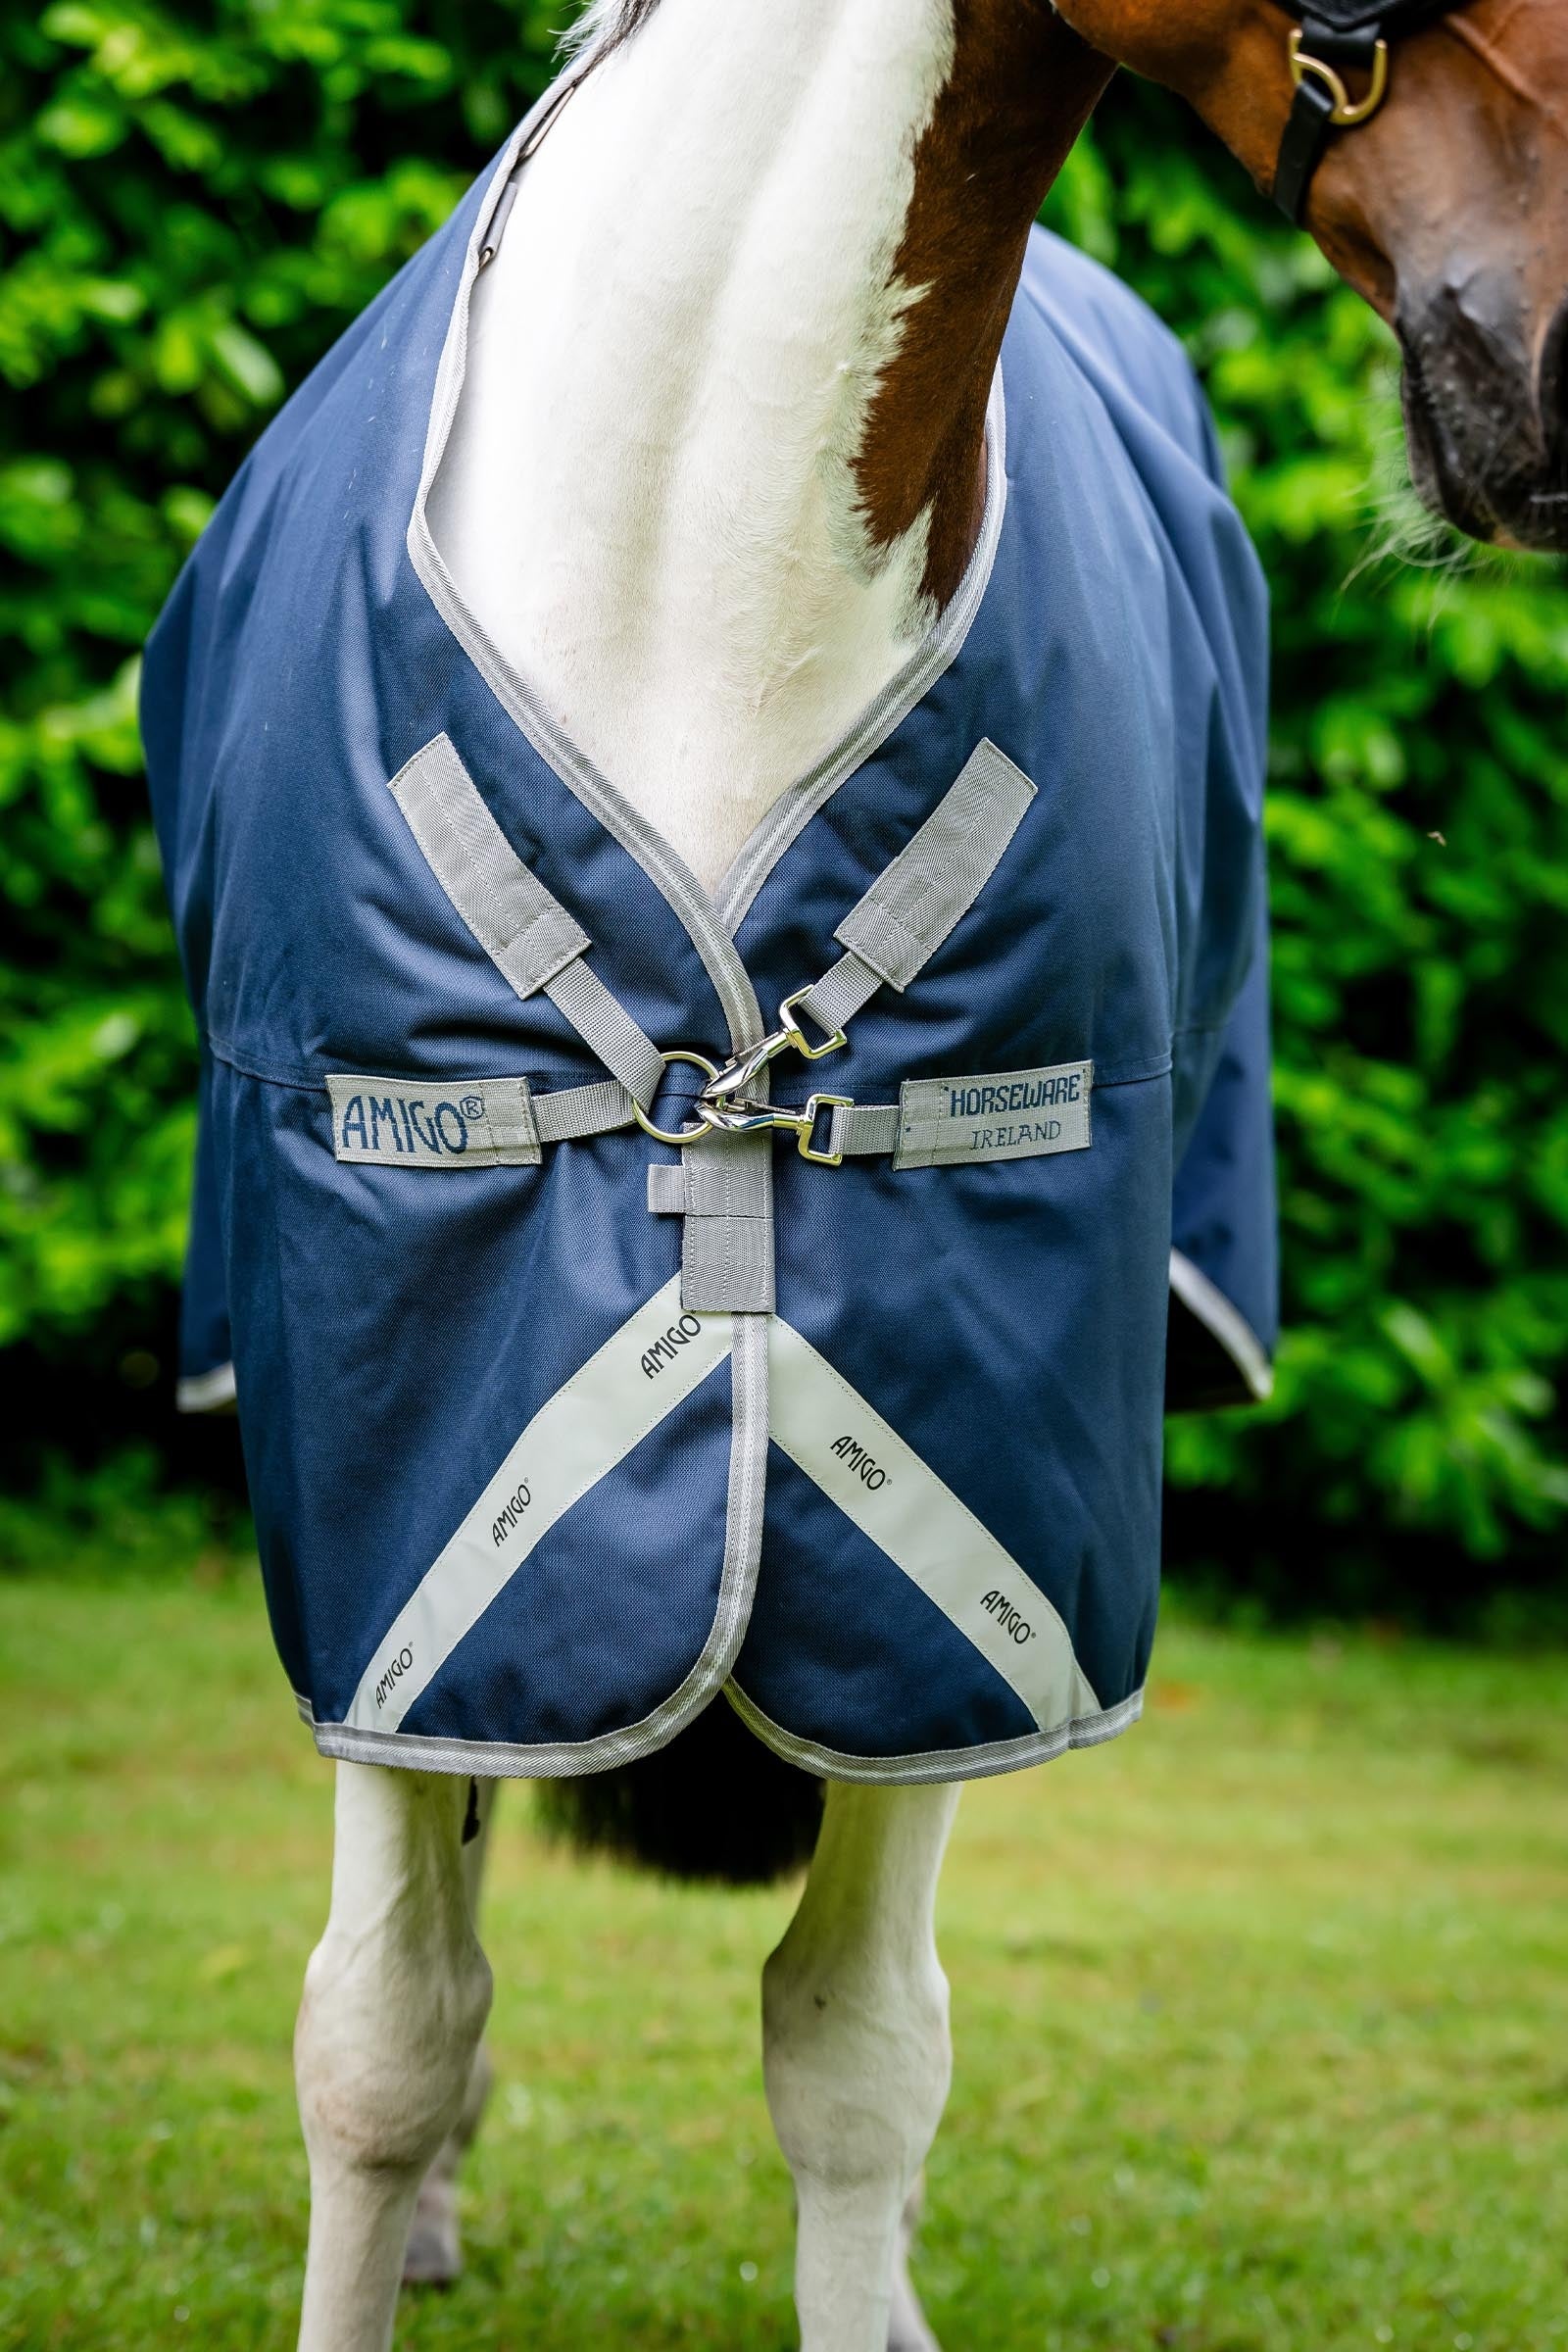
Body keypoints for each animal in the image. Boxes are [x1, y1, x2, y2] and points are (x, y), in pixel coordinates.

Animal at [139, 4, 1567, 2349]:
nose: (1550, 356)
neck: (694, 578)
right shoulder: (382, 1503)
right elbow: (379, 2031)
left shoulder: (967, 1533)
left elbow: (857, 2053)